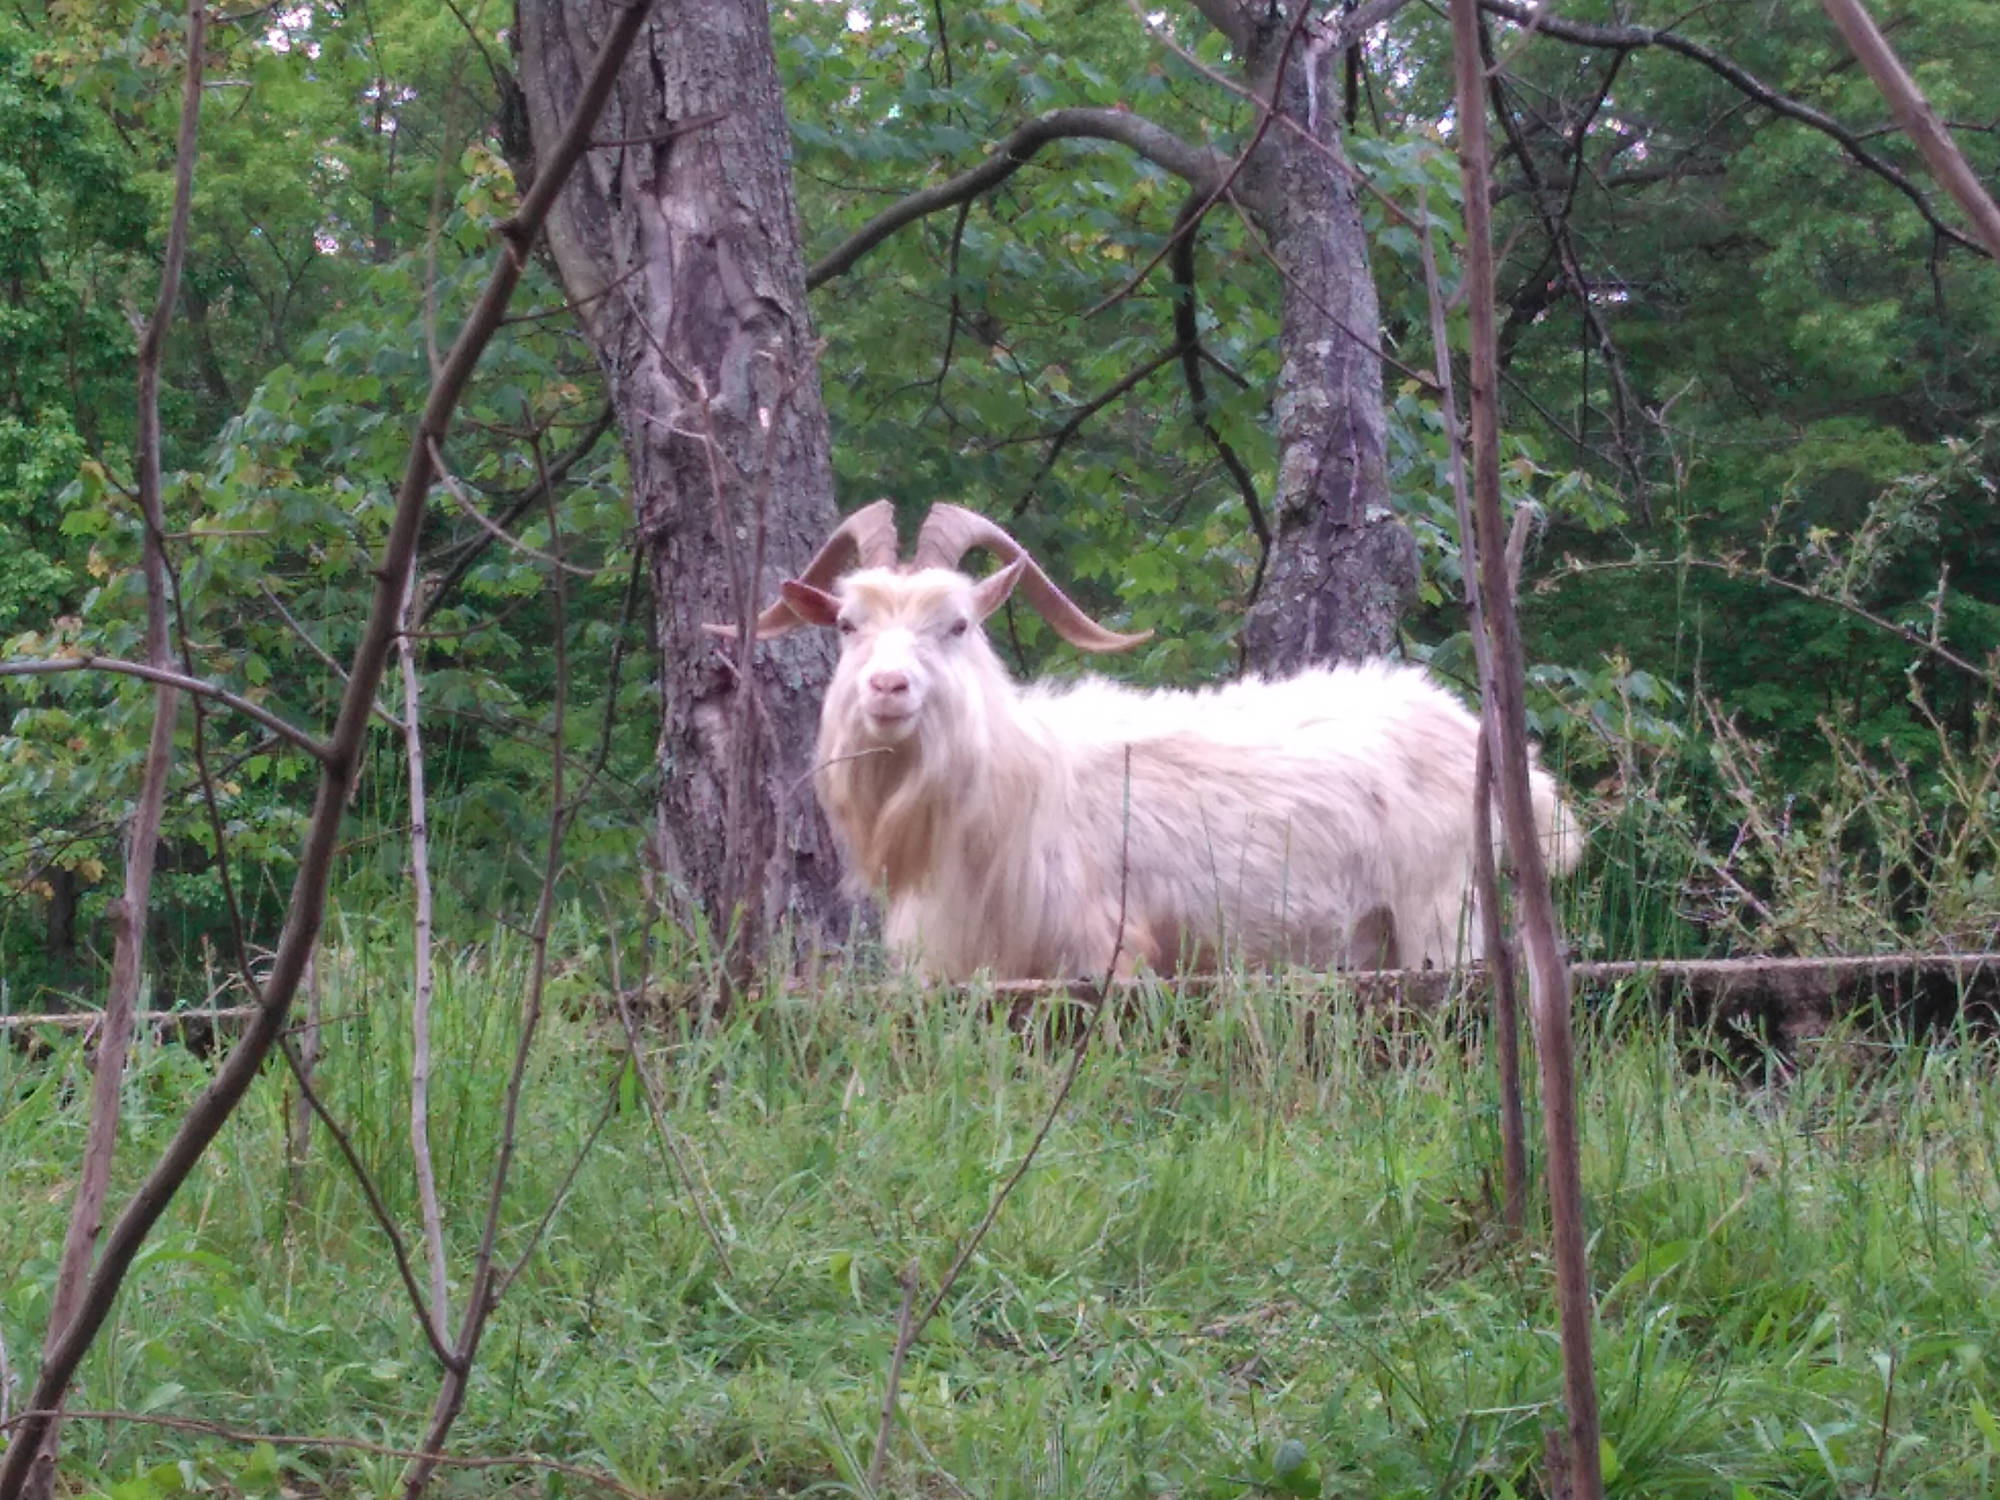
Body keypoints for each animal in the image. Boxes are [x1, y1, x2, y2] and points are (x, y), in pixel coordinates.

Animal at [718, 501, 1580, 981]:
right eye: (847, 625)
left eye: (956, 624)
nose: (888, 689)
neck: (1015, 782)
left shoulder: (1106, 949)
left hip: (1441, 913)